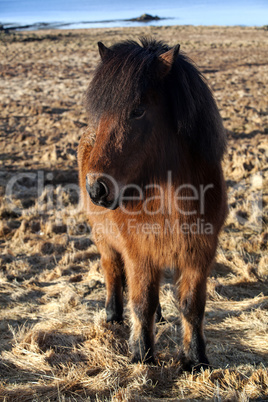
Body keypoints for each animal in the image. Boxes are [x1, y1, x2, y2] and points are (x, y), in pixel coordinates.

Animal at [78, 38, 227, 370]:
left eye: (138, 111)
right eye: (101, 112)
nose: (97, 188)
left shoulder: (199, 254)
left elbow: (192, 306)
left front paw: (196, 359)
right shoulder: (139, 254)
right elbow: (141, 302)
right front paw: (142, 355)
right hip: (104, 238)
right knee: (112, 272)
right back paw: (113, 315)